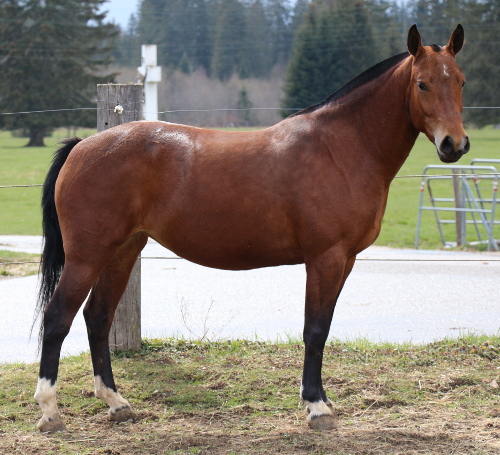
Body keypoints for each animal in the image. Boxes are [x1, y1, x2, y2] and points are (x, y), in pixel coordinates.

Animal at [35, 25, 468, 432]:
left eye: (461, 81)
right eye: (422, 83)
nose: (455, 145)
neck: (341, 147)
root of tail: (81, 147)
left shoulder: (344, 261)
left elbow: (324, 327)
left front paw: (323, 401)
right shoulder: (325, 259)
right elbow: (314, 330)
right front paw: (316, 407)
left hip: (123, 252)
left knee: (97, 317)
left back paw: (116, 402)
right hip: (88, 256)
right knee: (58, 319)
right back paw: (50, 411)